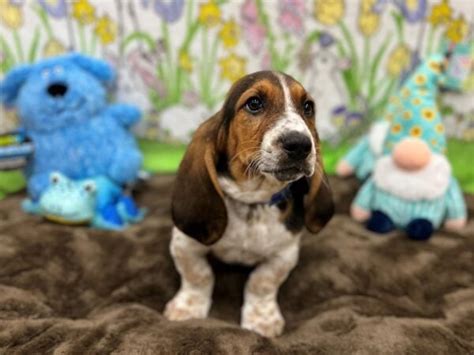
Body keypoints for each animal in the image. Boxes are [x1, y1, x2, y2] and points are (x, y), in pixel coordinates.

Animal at [165, 71, 336, 338]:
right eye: (254, 103)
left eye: (308, 107)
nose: (300, 144)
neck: (252, 201)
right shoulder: (185, 243)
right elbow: (198, 275)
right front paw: (188, 309)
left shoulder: (284, 253)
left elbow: (262, 282)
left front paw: (261, 321)